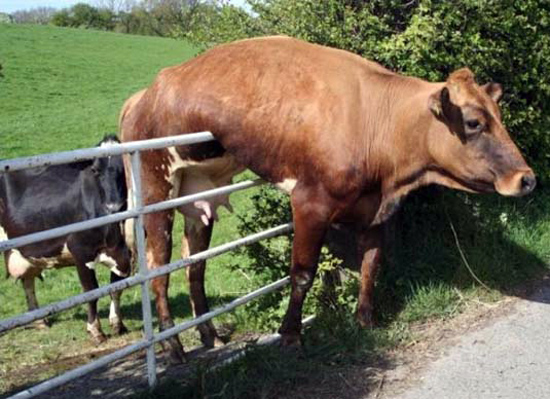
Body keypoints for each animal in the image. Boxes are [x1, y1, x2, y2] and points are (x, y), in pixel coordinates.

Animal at [0, 136, 132, 346]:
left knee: (28, 282)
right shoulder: (81, 252)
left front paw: (118, 324)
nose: (113, 207)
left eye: (124, 168)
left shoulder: (127, 253)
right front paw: (95, 330)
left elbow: (117, 287)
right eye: (95, 170)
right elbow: (92, 291)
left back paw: (40, 321)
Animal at [119, 36, 536, 364]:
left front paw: (365, 321)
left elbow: (370, 264)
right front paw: (291, 336)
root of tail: (145, 94)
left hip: (198, 194)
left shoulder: (374, 211)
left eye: (499, 116)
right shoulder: (310, 203)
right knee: (158, 268)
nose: (527, 179)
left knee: (195, 265)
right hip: (155, 189)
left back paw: (210, 336)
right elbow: (303, 273)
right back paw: (173, 348)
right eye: (474, 123)